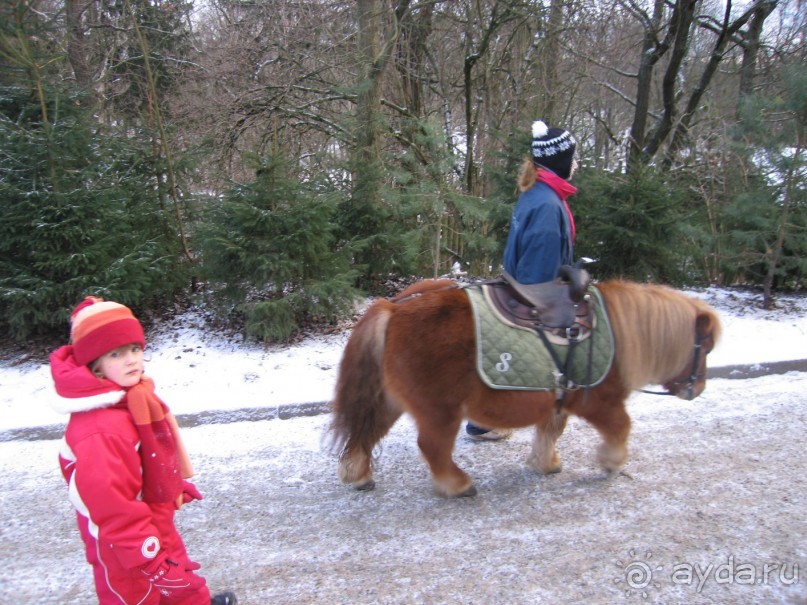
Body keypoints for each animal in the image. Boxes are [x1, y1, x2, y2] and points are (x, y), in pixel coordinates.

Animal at [332, 278, 724, 496]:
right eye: (705, 347)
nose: (698, 388)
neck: (617, 333)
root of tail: (393, 307)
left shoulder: (557, 399)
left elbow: (551, 429)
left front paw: (544, 463)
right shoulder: (600, 403)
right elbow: (620, 427)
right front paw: (611, 462)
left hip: (389, 400)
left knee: (366, 432)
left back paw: (358, 475)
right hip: (439, 410)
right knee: (432, 447)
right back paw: (457, 485)